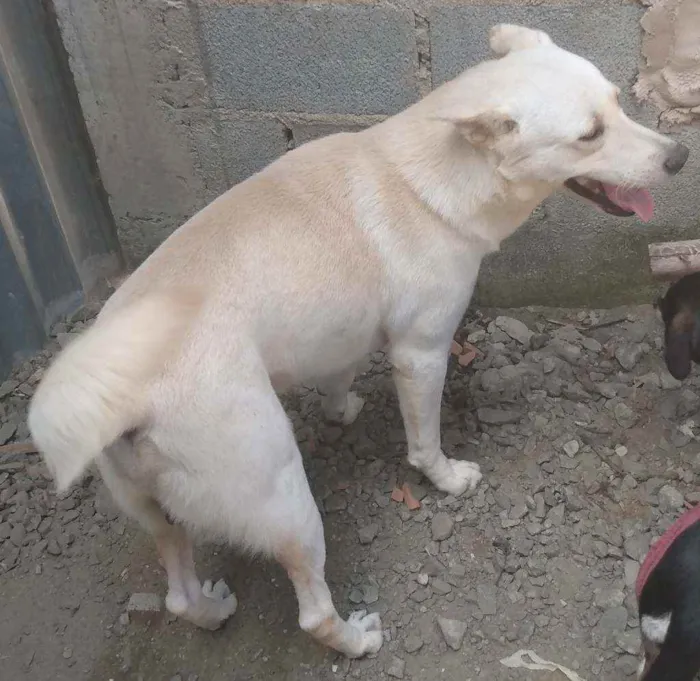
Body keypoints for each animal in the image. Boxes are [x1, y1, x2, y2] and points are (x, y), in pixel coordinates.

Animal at [28, 23, 688, 656]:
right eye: (589, 135)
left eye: (619, 103)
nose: (681, 156)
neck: (439, 176)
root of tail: (126, 394)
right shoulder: (422, 353)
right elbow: (423, 443)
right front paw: (446, 478)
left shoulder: (340, 332)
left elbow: (337, 378)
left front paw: (341, 409)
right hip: (283, 497)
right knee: (312, 613)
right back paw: (356, 640)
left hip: (157, 514)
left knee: (179, 596)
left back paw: (212, 610)